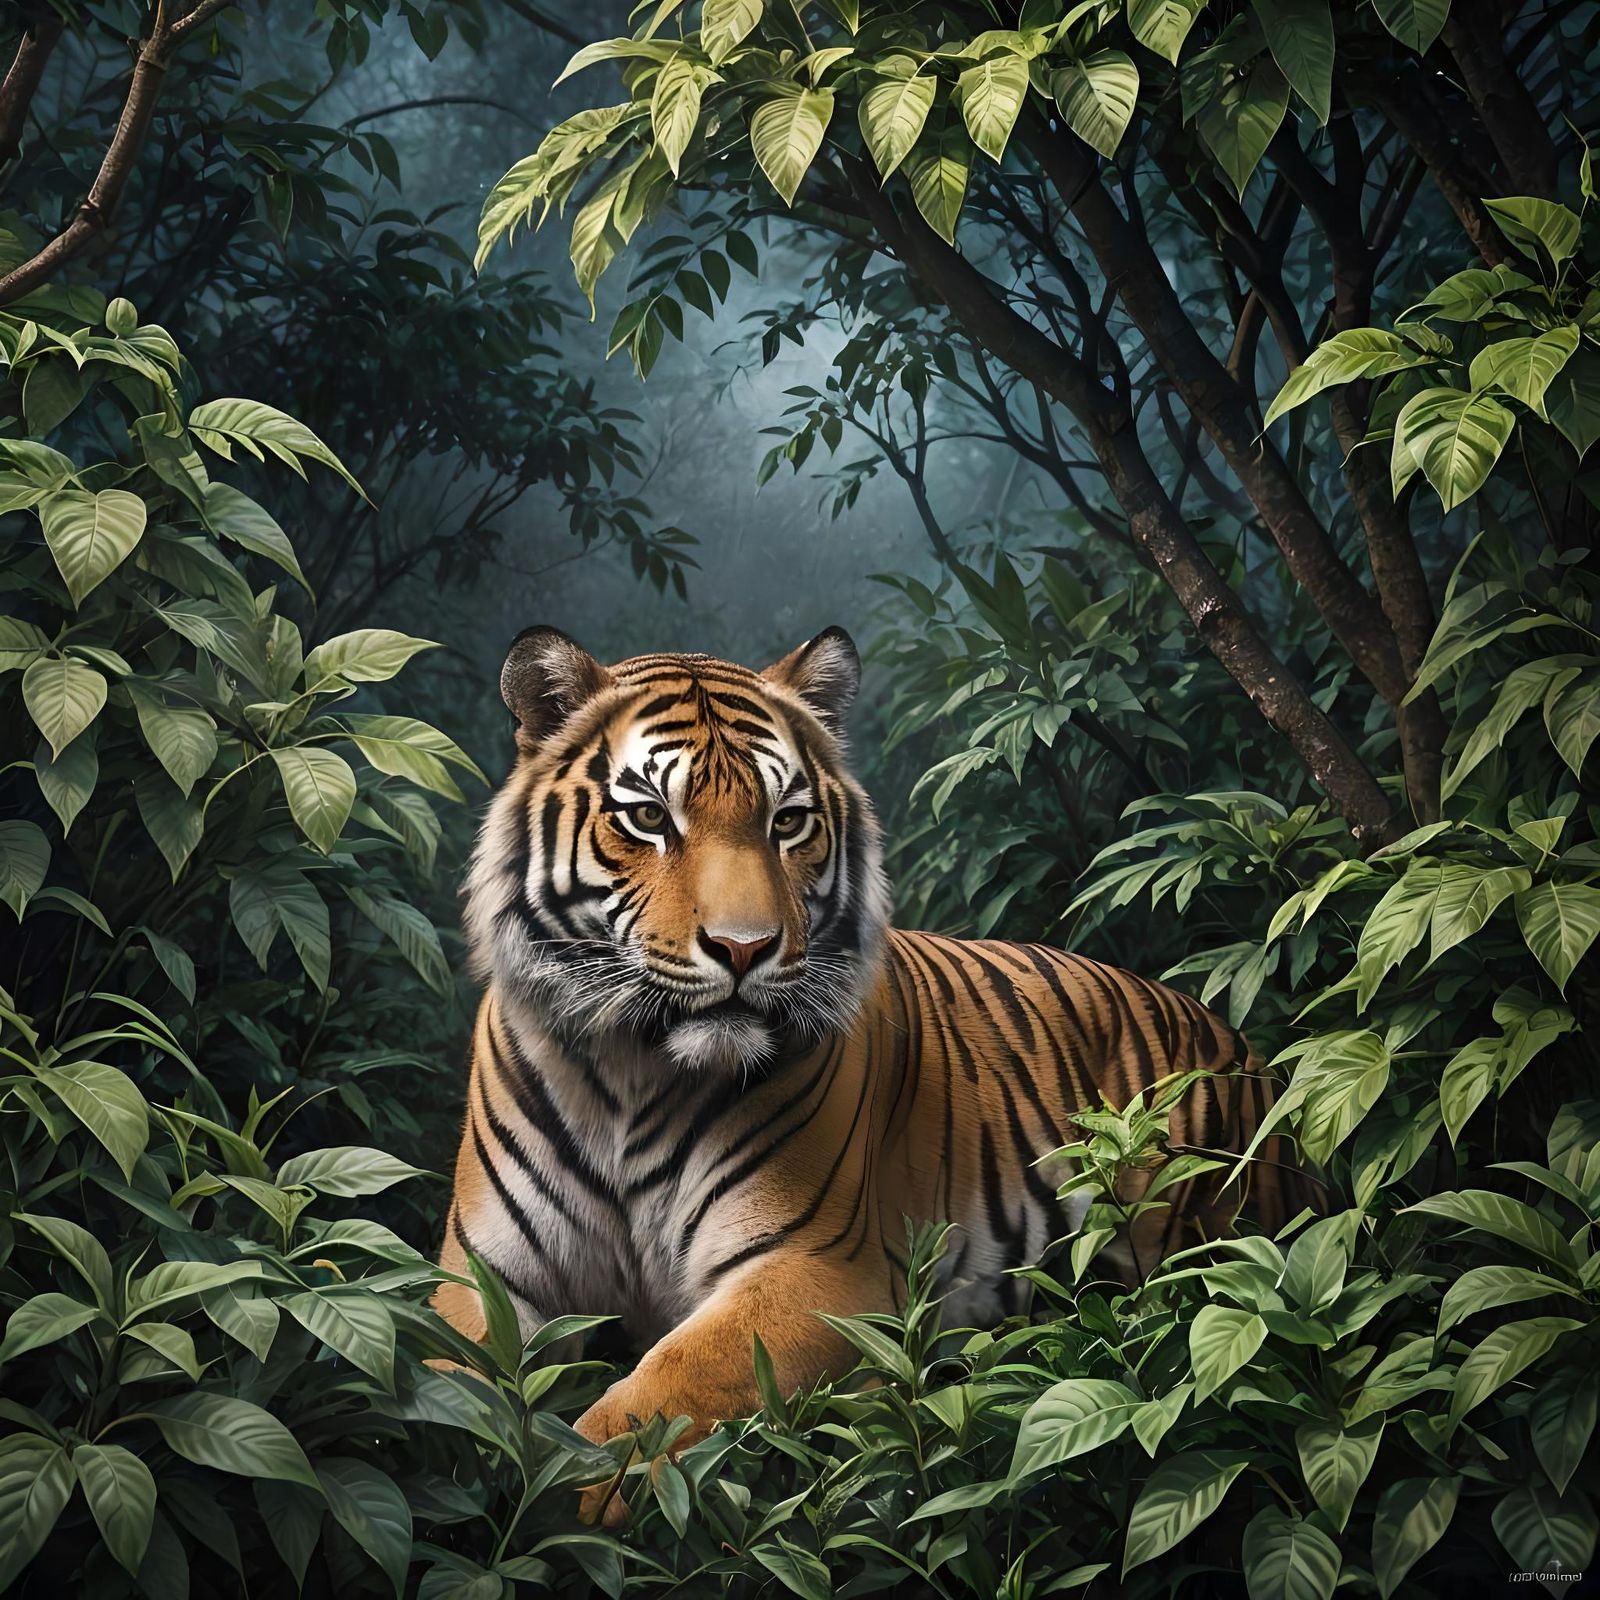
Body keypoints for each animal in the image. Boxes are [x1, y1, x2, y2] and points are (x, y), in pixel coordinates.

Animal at [433, 624, 1304, 1494]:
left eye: (788, 821)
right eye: (648, 816)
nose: (744, 949)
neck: (635, 1071)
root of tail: (1248, 1050)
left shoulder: (815, 1271)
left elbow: (652, 1405)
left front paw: (572, 1493)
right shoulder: (485, 1276)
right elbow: (446, 1391)